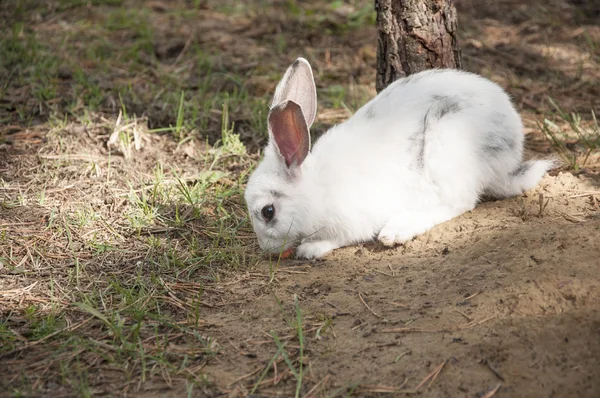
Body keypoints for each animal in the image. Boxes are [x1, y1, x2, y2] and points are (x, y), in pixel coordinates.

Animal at [244, 57, 552, 260]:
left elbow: (340, 238)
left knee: (458, 203)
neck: (314, 189)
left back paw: (397, 230)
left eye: (268, 212)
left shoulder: (352, 220)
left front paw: (311, 249)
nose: (267, 250)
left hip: (447, 150)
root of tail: (511, 154)